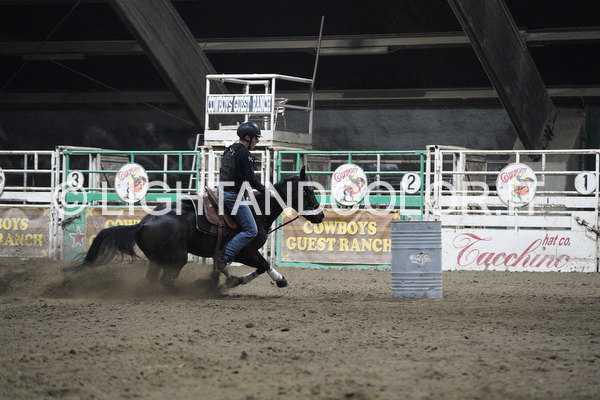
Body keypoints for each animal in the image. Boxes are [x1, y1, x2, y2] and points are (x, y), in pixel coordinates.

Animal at [63, 166, 324, 290]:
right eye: (308, 191)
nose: (321, 215)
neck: (257, 210)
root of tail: (142, 223)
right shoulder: (246, 249)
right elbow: (263, 265)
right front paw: (279, 280)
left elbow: (246, 267)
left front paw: (230, 280)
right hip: (176, 259)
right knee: (164, 281)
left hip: (158, 259)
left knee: (153, 279)